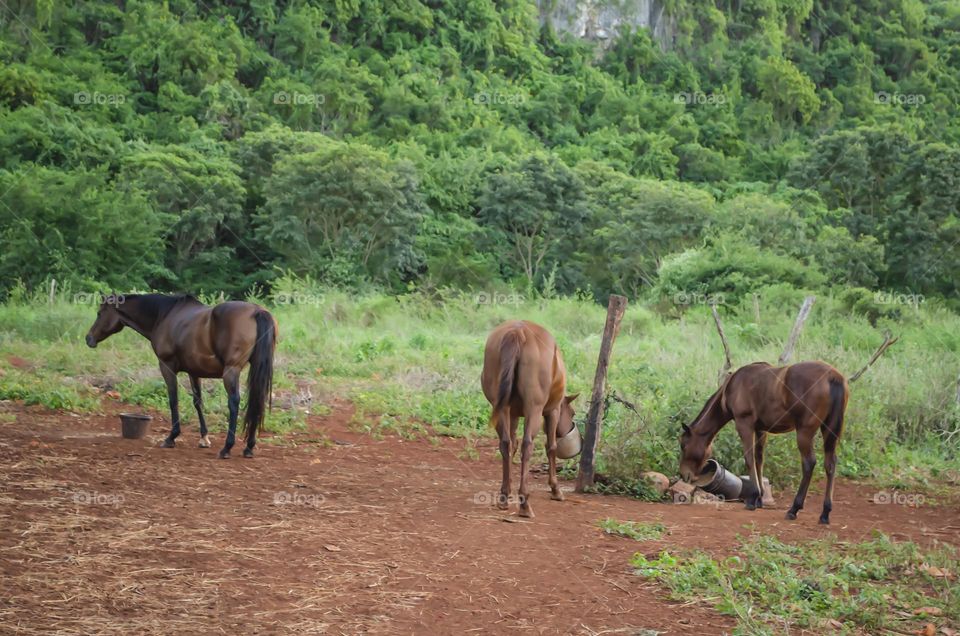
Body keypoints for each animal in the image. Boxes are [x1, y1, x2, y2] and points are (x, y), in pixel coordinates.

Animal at [85, 294, 278, 458]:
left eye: (99, 313)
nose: (88, 338)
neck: (164, 315)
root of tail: (256, 311)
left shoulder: (167, 366)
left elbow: (173, 399)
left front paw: (171, 437)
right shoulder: (194, 372)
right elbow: (198, 402)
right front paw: (204, 438)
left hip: (231, 371)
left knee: (234, 403)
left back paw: (227, 448)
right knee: (256, 400)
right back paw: (249, 447)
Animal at [480, 320, 576, 520]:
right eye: (572, 414)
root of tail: (518, 331)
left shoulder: (513, 414)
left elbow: (512, 445)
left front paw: (507, 490)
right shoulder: (552, 412)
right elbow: (551, 447)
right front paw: (555, 488)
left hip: (500, 407)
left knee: (505, 443)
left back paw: (504, 498)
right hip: (534, 409)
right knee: (528, 445)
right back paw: (524, 503)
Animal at [676, 360, 848, 524]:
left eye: (683, 445)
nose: (684, 474)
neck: (732, 386)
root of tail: (832, 376)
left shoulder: (744, 424)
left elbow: (749, 458)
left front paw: (753, 497)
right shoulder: (761, 429)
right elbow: (759, 459)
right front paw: (760, 499)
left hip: (804, 432)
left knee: (809, 463)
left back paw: (794, 508)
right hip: (829, 430)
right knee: (830, 464)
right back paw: (825, 512)